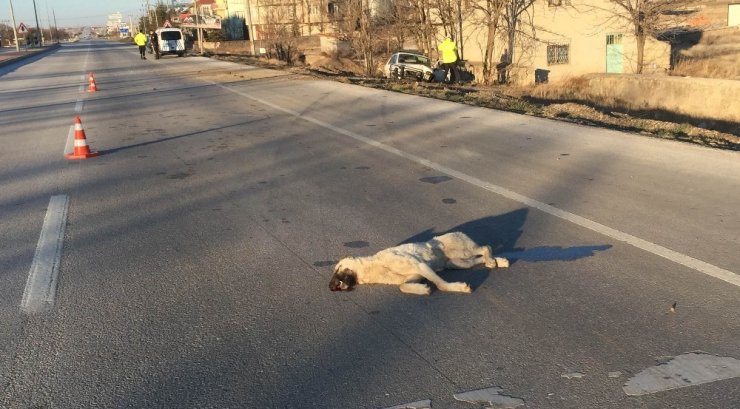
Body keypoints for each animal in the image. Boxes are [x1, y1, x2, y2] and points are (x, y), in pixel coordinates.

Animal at [330, 231, 508, 294]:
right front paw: (422, 289)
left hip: (461, 251)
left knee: (486, 247)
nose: (330, 287)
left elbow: (441, 284)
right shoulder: (415, 275)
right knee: (480, 257)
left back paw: (492, 260)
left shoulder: (420, 265)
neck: (375, 266)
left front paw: (457, 288)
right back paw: (497, 261)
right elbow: (403, 286)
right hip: (458, 262)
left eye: (337, 269)